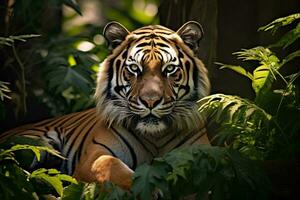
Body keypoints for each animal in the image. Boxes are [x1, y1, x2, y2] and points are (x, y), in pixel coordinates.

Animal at [0, 20, 211, 191]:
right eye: (134, 68)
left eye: (170, 69)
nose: (150, 101)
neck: (155, 136)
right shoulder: (93, 157)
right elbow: (110, 166)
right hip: (33, 146)